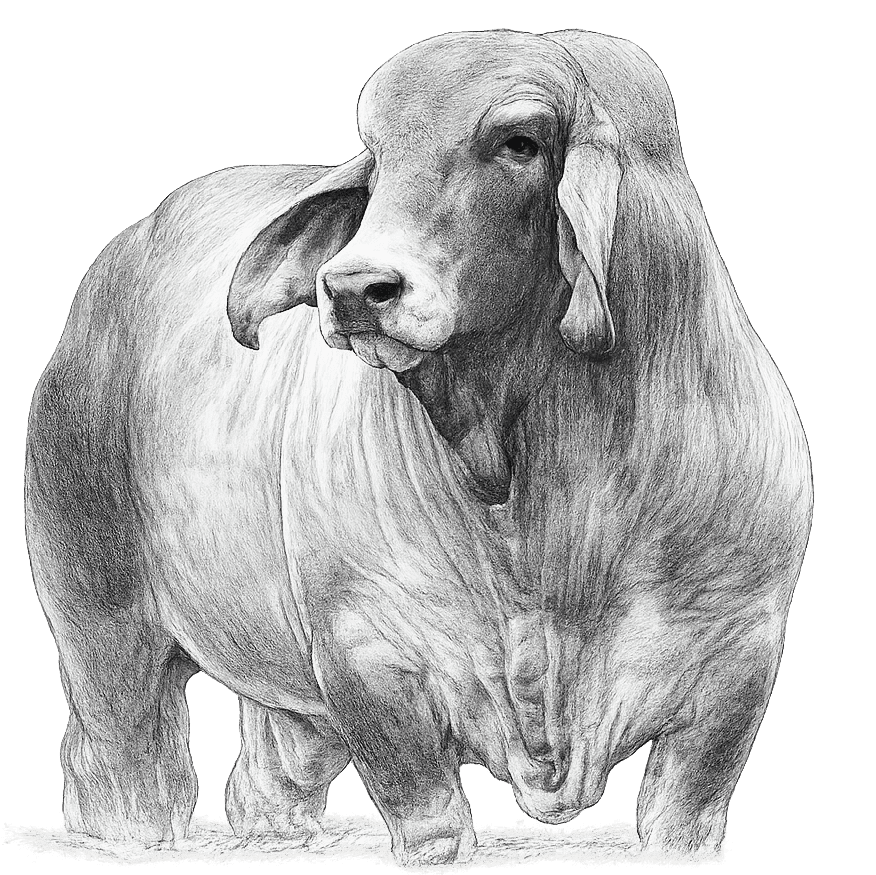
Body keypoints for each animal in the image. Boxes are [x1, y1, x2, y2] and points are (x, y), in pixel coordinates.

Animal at [25, 29, 812, 866]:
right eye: (379, 154)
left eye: (521, 142)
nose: (354, 287)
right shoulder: (366, 651)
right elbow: (425, 807)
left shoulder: (736, 661)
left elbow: (683, 811)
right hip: (98, 612)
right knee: (122, 746)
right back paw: (130, 834)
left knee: (272, 760)